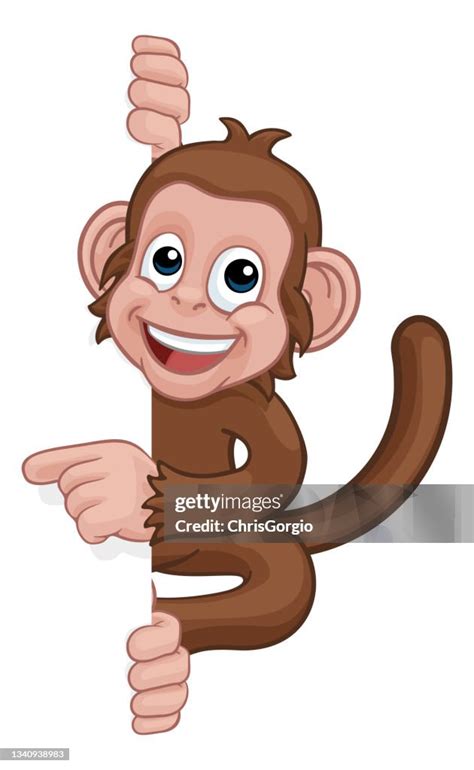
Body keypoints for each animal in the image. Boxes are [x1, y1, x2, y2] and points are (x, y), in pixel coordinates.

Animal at [22, 36, 452, 734]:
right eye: (166, 259)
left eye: (241, 275)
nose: (189, 303)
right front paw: (159, 101)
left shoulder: (253, 410)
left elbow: (277, 470)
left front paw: (122, 489)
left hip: (227, 543)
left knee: (280, 581)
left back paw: (163, 648)